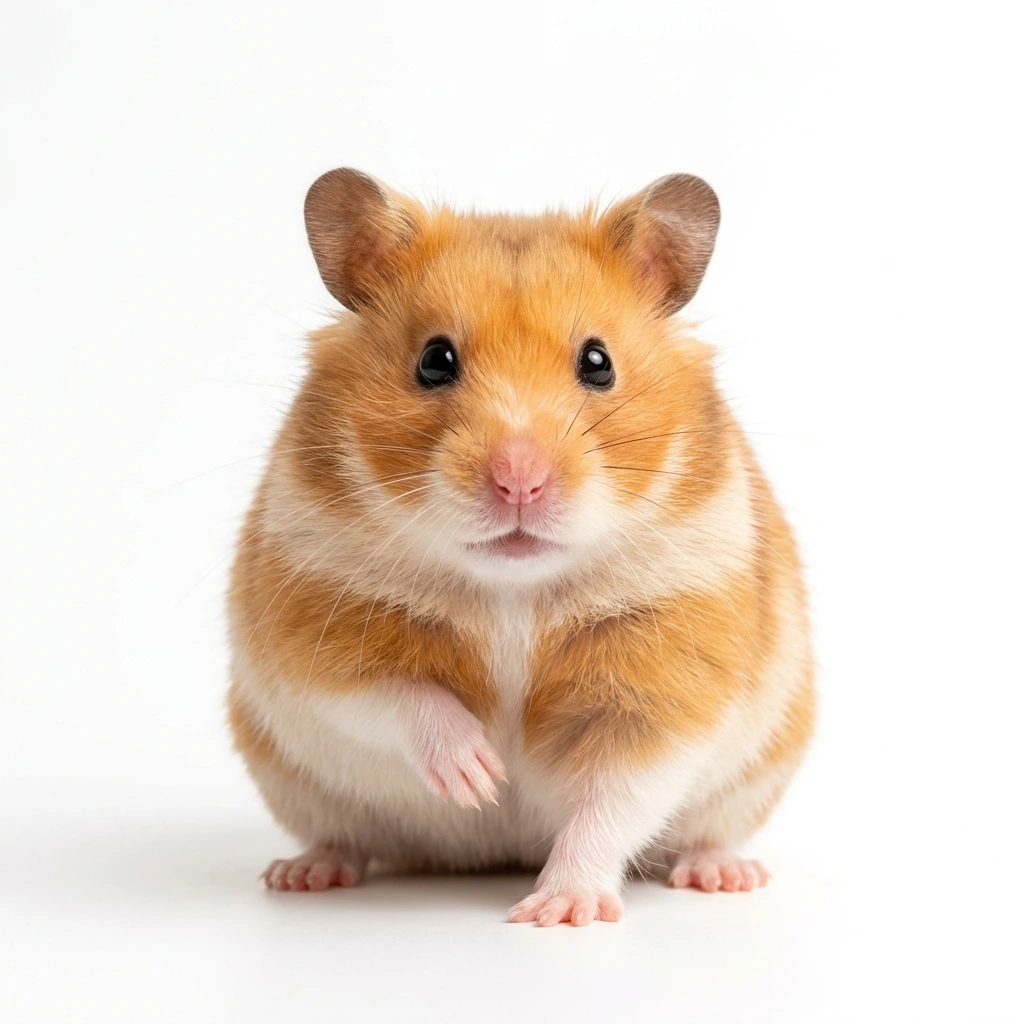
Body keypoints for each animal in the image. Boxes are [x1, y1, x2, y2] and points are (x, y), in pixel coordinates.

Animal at [226, 168, 814, 926]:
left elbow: (611, 803)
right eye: (434, 360)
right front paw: (480, 779)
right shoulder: (314, 639)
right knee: (343, 837)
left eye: (599, 362)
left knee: (706, 833)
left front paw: (559, 910)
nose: (519, 482)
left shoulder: (664, 686)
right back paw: (303, 874)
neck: (514, 586)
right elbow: (399, 698)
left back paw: (724, 874)